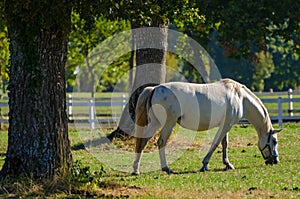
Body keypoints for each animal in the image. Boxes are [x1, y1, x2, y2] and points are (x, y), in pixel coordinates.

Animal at [132, 78, 280, 175]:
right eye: (274, 141)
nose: (275, 160)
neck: (240, 97)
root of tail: (155, 89)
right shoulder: (226, 125)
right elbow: (215, 144)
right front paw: (205, 165)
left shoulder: (226, 125)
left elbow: (224, 144)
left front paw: (227, 164)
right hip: (168, 123)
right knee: (161, 142)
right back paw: (166, 168)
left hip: (155, 123)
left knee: (142, 142)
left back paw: (136, 170)